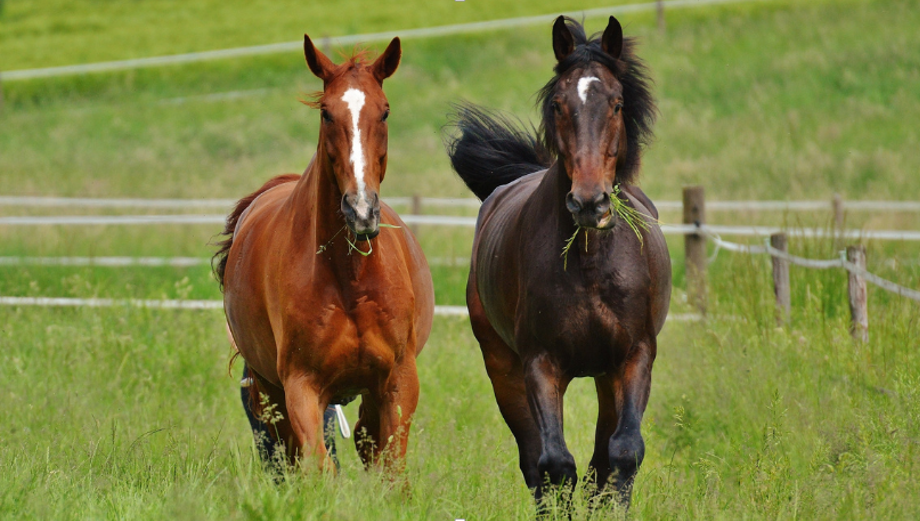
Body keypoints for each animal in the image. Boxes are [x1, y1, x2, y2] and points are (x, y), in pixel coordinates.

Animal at [214, 34, 435, 472]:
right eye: (326, 113)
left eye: (385, 111)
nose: (361, 210)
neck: (350, 279)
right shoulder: (301, 386)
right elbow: (319, 466)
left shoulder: (398, 381)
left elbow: (390, 469)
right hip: (270, 391)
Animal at [445, 16, 671, 508]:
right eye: (557, 103)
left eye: (617, 103)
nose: (589, 202)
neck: (590, 264)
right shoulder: (540, 364)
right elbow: (554, 465)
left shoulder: (635, 355)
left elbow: (622, 454)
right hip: (503, 368)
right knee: (536, 463)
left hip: (606, 376)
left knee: (601, 459)